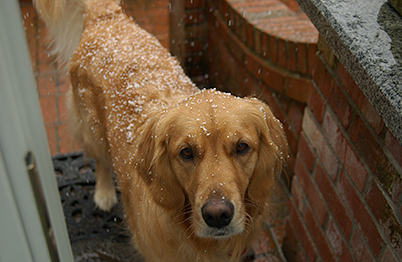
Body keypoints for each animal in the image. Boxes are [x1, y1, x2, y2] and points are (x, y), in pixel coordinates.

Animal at [33, 0, 286, 260]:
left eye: (242, 147)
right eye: (186, 152)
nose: (217, 215)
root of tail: (106, 15)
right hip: (92, 128)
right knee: (99, 160)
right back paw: (104, 194)